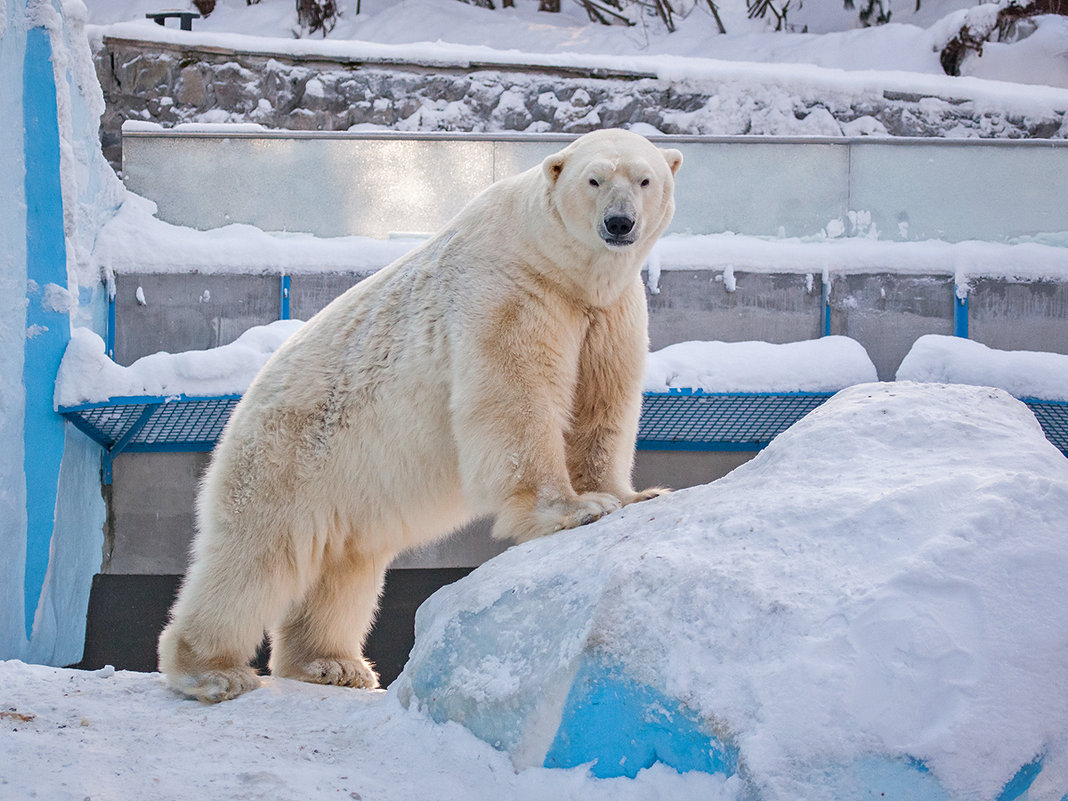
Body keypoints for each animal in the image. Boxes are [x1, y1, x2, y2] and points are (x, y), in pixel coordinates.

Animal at [155, 127, 683, 700]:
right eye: (594, 179)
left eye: (645, 179)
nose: (619, 223)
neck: (556, 263)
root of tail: (244, 405)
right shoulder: (510, 293)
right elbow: (517, 399)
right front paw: (575, 509)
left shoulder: (608, 312)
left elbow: (602, 404)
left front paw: (632, 495)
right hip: (286, 454)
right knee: (256, 555)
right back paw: (212, 670)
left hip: (347, 485)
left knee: (344, 567)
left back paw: (331, 664)